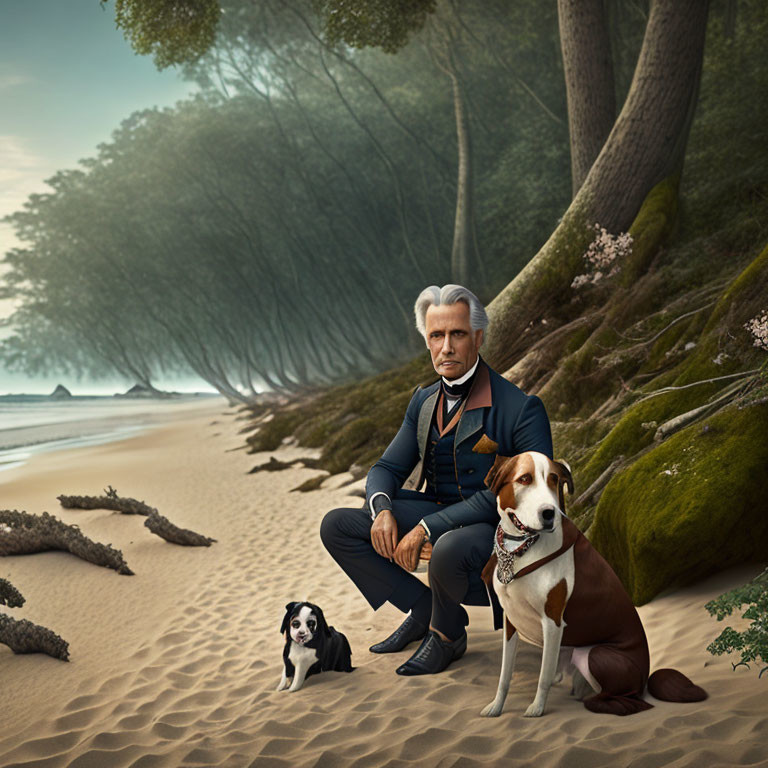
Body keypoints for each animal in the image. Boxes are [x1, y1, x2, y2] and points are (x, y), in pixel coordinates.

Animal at [480, 452, 708, 716]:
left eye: (554, 479)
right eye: (524, 479)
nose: (549, 514)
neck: (520, 550)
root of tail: (645, 679)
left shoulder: (552, 622)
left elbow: (543, 676)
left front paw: (536, 708)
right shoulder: (510, 620)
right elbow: (505, 674)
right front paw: (496, 707)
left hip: (596, 655)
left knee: (631, 701)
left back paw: (599, 703)